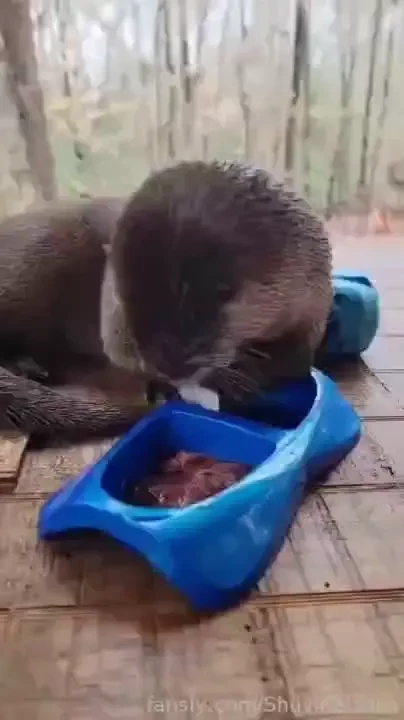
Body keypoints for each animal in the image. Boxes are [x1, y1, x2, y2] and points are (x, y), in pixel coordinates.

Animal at [0, 161, 332, 438]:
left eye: (222, 291)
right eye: (122, 296)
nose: (170, 366)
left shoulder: (313, 300)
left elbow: (296, 361)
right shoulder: (112, 325)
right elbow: (119, 353)